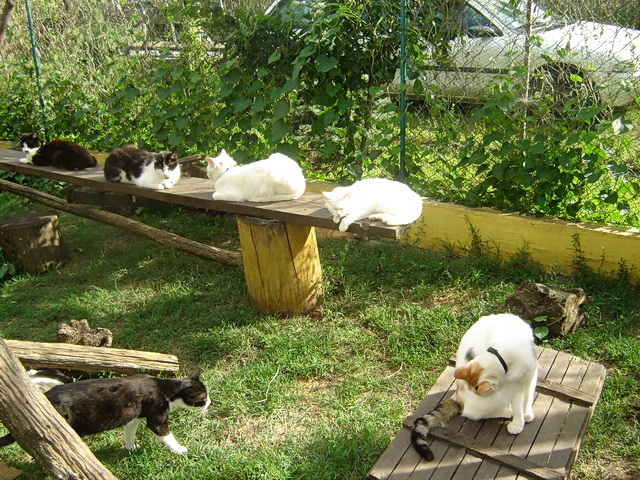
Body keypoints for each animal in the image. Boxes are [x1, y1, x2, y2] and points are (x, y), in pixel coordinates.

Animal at [0, 369, 210, 454]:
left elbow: (129, 433)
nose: (210, 402)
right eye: (203, 398)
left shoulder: (133, 418)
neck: (165, 388)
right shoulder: (157, 417)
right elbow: (167, 435)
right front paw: (179, 450)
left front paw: (130, 448)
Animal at [411, 313, 538, 461]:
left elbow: (528, 397)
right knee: (475, 413)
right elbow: (518, 404)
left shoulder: (530, 374)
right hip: (494, 399)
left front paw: (527, 413)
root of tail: (458, 395)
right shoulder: (513, 386)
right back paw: (507, 411)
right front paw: (518, 421)